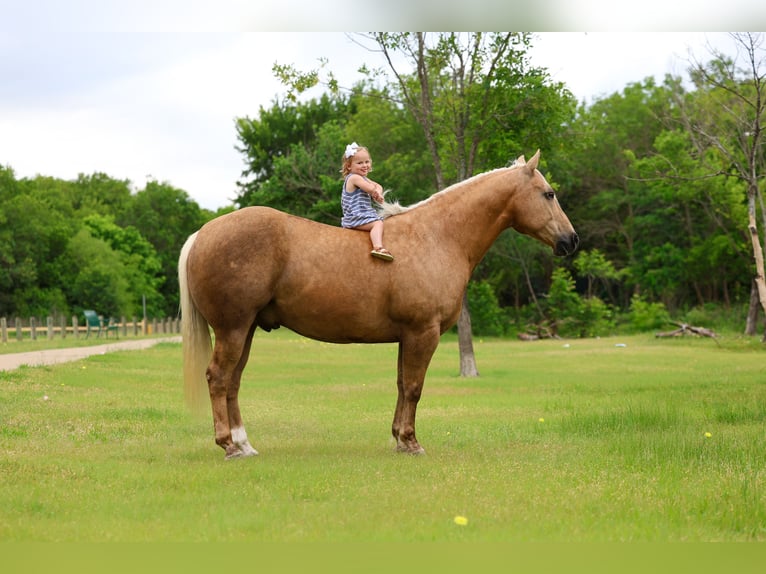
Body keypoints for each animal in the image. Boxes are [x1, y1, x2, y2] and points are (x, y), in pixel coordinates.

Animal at [178, 150, 578, 459]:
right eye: (549, 194)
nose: (571, 240)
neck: (437, 236)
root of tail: (203, 233)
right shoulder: (423, 333)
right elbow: (415, 387)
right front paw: (412, 443)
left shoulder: (408, 336)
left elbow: (402, 384)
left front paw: (399, 439)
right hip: (232, 329)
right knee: (218, 378)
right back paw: (229, 446)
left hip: (245, 330)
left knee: (233, 382)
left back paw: (245, 444)